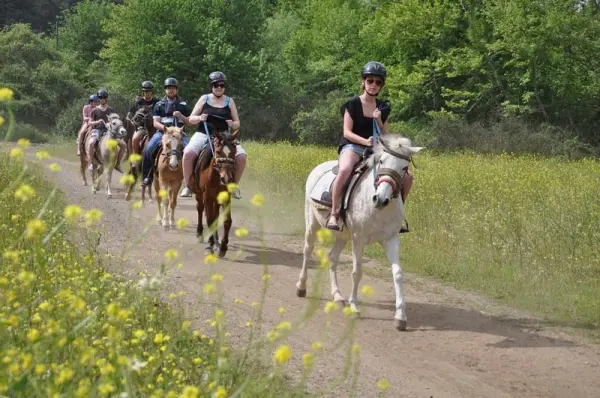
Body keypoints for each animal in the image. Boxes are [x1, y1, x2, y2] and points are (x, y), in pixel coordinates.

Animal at [192, 123, 239, 256]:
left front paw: (223, 246)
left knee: (216, 215)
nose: (226, 178)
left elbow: (227, 221)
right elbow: (209, 219)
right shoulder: (207, 196)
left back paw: (217, 241)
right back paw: (200, 234)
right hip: (199, 194)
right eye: (218, 151)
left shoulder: (225, 196)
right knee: (200, 209)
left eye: (234, 152)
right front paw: (210, 246)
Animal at [298, 135, 424, 332]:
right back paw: (302, 287)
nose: (381, 199)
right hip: (312, 224)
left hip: (342, 236)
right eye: (381, 161)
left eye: (405, 168)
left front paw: (400, 316)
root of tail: (319, 167)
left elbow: (398, 273)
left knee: (332, 257)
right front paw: (354, 308)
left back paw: (337, 296)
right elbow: (357, 272)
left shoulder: (391, 239)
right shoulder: (359, 239)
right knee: (307, 250)